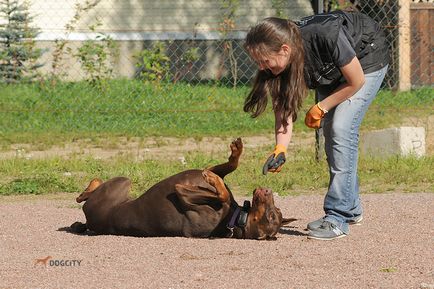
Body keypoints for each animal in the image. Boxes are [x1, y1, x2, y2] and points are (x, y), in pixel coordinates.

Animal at [72, 137, 294, 238]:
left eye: (272, 217)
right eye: (277, 210)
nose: (267, 191)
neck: (233, 216)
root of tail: (90, 222)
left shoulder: (183, 193)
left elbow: (219, 193)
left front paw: (212, 179)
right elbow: (229, 167)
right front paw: (235, 152)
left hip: (121, 183)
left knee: (84, 195)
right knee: (88, 189)